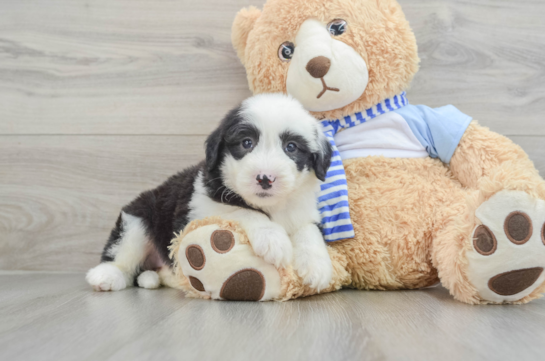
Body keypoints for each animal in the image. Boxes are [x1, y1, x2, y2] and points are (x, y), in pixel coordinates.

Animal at [86, 93, 332, 292]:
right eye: (246, 143)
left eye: (291, 147)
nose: (265, 178)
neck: (272, 206)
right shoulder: (201, 207)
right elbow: (241, 211)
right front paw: (273, 239)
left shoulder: (304, 211)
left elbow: (308, 231)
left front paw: (317, 266)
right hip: (138, 218)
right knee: (123, 252)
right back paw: (106, 275)